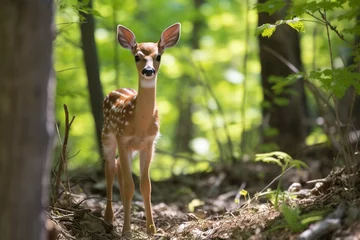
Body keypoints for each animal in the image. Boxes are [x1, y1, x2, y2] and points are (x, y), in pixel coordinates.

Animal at [100, 22, 180, 236]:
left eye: (158, 56)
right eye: (137, 56)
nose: (148, 70)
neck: (140, 125)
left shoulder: (149, 143)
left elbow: (146, 186)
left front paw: (152, 229)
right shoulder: (123, 139)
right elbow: (130, 186)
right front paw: (127, 231)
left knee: (118, 167)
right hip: (108, 136)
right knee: (110, 168)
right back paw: (109, 219)